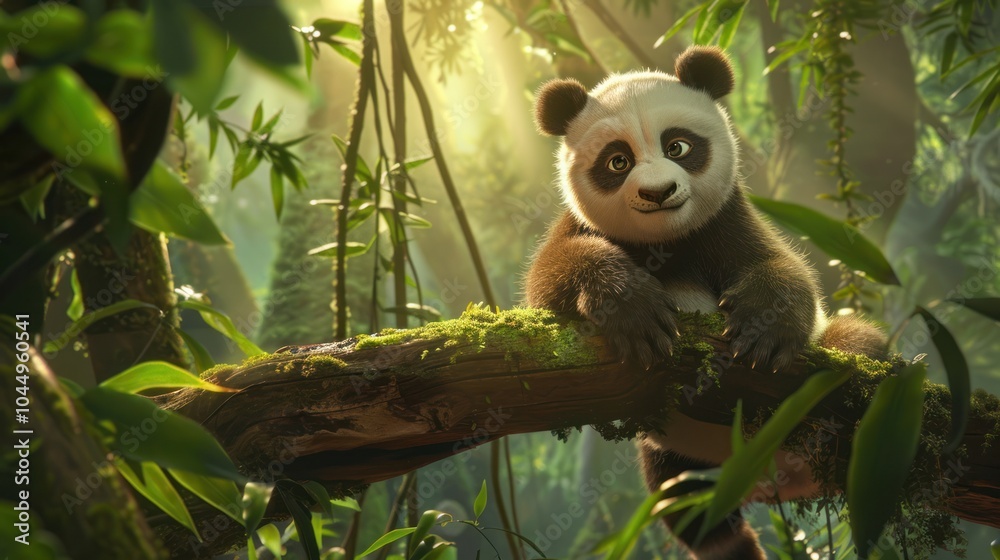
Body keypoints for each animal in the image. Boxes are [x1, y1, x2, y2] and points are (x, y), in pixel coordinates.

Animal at [524, 46, 887, 559]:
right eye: (617, 161)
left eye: (678, 146)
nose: (658, 193)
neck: (667, 242)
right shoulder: (579, 230)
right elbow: (549, 279)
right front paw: (635, 312)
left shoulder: (725, 223)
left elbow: (782, 268)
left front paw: (762, 334)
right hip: (676, 460)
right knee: (699, 521)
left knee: (857, 342)